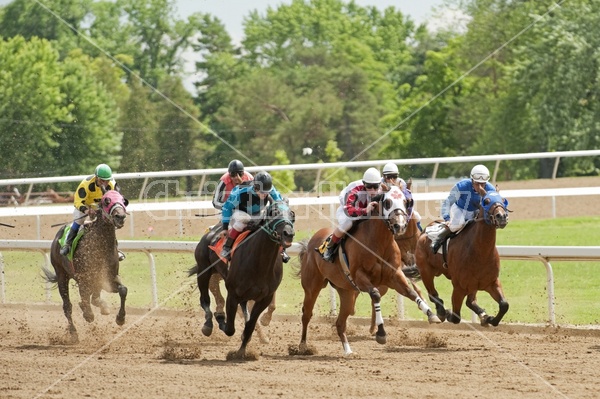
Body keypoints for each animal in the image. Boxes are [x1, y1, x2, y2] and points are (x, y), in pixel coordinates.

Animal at [44, 191, 129, 344]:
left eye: (123, 201)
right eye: (106, 201)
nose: (120, 216)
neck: (100, 246)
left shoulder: (108, 278)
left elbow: (123, 290)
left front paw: (120, 318)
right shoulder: (84, 278)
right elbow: (83, 301)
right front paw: (87, 314)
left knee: (93, 297)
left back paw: (102, 306)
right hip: (62, 275)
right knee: (67, 306)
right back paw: (74, 333)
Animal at [188, 200, 296, 360]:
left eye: (292, 214)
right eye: (273, 212)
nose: (288, 233)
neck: (260, 263)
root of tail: (212, 231)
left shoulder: (264, 298)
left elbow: (250, 324)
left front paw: (242, 351)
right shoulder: (233, 294)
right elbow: (230, 328)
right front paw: (221, 319)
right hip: (204, 271)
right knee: (205, 299)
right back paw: (208, 324)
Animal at [296, 186, 440, 358]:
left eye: (405, 202)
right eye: (387, 202)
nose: (399, 226)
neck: (379, 242)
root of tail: (310, 242)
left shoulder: (394, 275)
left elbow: (411, 292)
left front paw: (432, 314)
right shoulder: (360, 277)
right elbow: (375, 296)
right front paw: (381, 333)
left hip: (346, 292)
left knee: (340, 322)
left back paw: (348, 350)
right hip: (312, 287)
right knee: (306, 314)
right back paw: (303, 346)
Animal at [412, 192, 510, 326]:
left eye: (502, 199)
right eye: (486, 201)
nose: (502, 216)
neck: (481, 252)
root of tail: (425, 230)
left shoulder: (491, 282)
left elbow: (504, 304)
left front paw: (490, 319)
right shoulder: (459, 287)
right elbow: (455, 317)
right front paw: (447, 313)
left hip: (472, 285)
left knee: (470, 301)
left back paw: (483, 315)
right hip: (426, 271)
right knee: (433, 294)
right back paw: (441, 312)